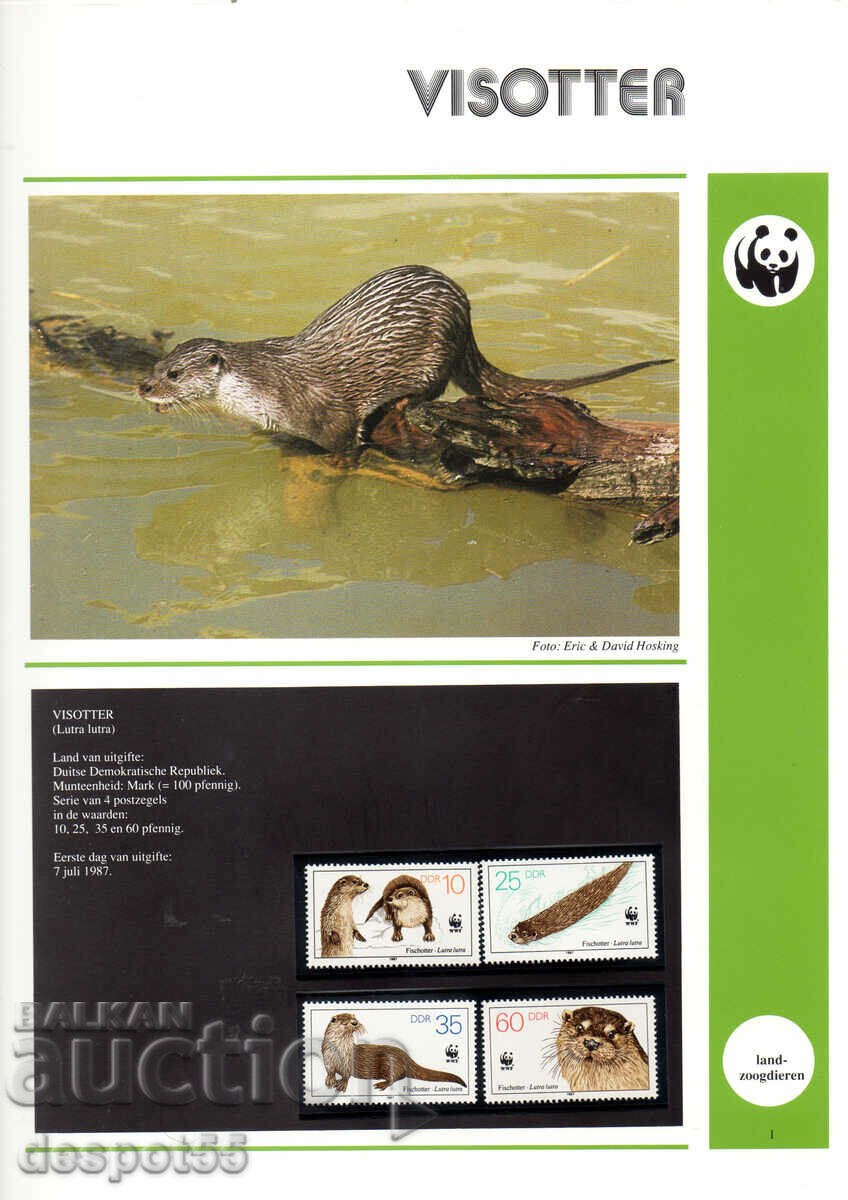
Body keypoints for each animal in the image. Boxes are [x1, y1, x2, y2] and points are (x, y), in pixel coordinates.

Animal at [137, 265, 671, 456]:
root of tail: (464, 309)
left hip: (436, 349)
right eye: (156, 366)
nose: (143, 388)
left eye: (174, 374)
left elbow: (343, 446)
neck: (265, 385)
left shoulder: (329, 415)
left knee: (434, 387)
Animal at [321, 1013, 466, 1092]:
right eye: (345, 1022)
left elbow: (346, 1074)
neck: (337, 1052)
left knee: (395, 1077)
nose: (355, 1023)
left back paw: (381, 1084)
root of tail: (406, 1057)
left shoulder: (348, 1061)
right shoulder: (327, 1059)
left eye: (354, 1018)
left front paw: (342, 1083)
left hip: (390, 1063)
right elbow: (330, 1071)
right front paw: (330, 1079)